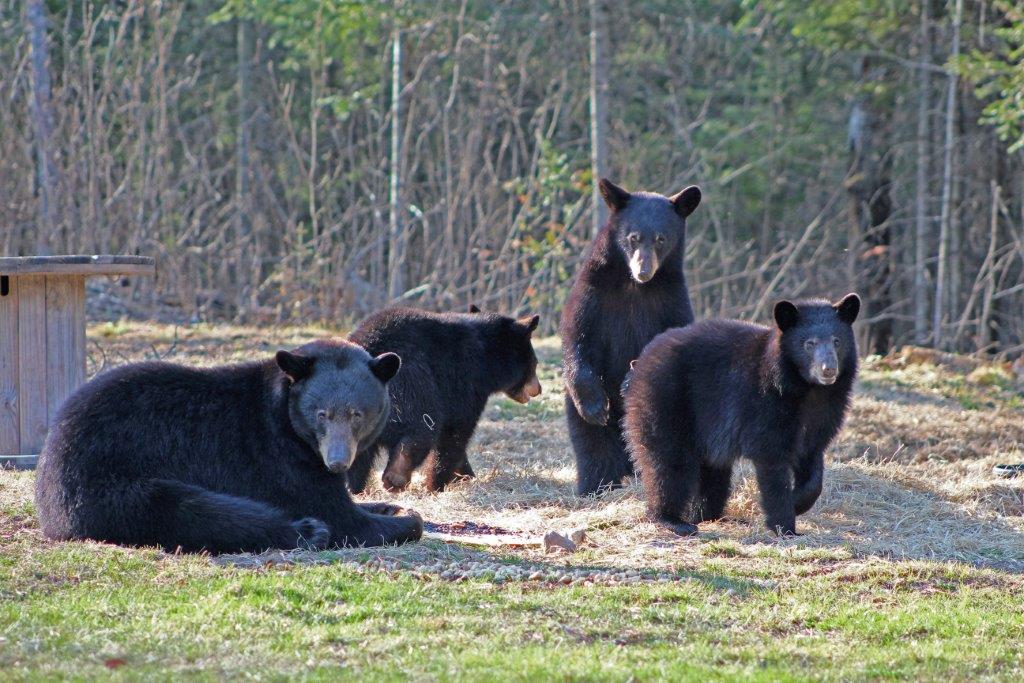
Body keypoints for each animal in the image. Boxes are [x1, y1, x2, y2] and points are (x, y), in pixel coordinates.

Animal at [35, 339, 419, 552]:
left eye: (357, 414)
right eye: (321, 414)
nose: (337, 462)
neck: (284, 415)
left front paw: (389, 506)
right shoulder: (279, 457)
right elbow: (340, 516)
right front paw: (406, 519)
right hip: (108, 480)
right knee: (198, 511)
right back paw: (307, 531)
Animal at [348, 307, 544, 493]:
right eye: (535, 364)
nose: (539, 389)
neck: (486, 359)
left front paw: (466, 476)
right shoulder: (465, 382)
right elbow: (455, 432)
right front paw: (438, 484)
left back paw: (354, 488)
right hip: (411, 381)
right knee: (423, 427)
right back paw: (395, 477)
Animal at [561, 179, 704, 493]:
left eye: (661, 239)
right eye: (634, 237)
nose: (643, 270)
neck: (633, 287)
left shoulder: (671, 302)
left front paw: (630, 382)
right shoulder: (593, 292)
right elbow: (577, 334)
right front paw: (595, 406)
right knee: (593, 444)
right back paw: (595, 484)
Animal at [618, 294, 860, 540]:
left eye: (837, 341)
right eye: (809, 344)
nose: (828, 369)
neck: (807, 389)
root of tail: (639, 363)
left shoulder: (824, 413)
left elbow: (812, 459)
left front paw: (798, 502)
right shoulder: (765, 404)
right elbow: (772, 462)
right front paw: (785, 526)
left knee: (712, 472)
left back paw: (709, 516)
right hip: (665, 403)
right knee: (669, 464)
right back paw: (673, 520)